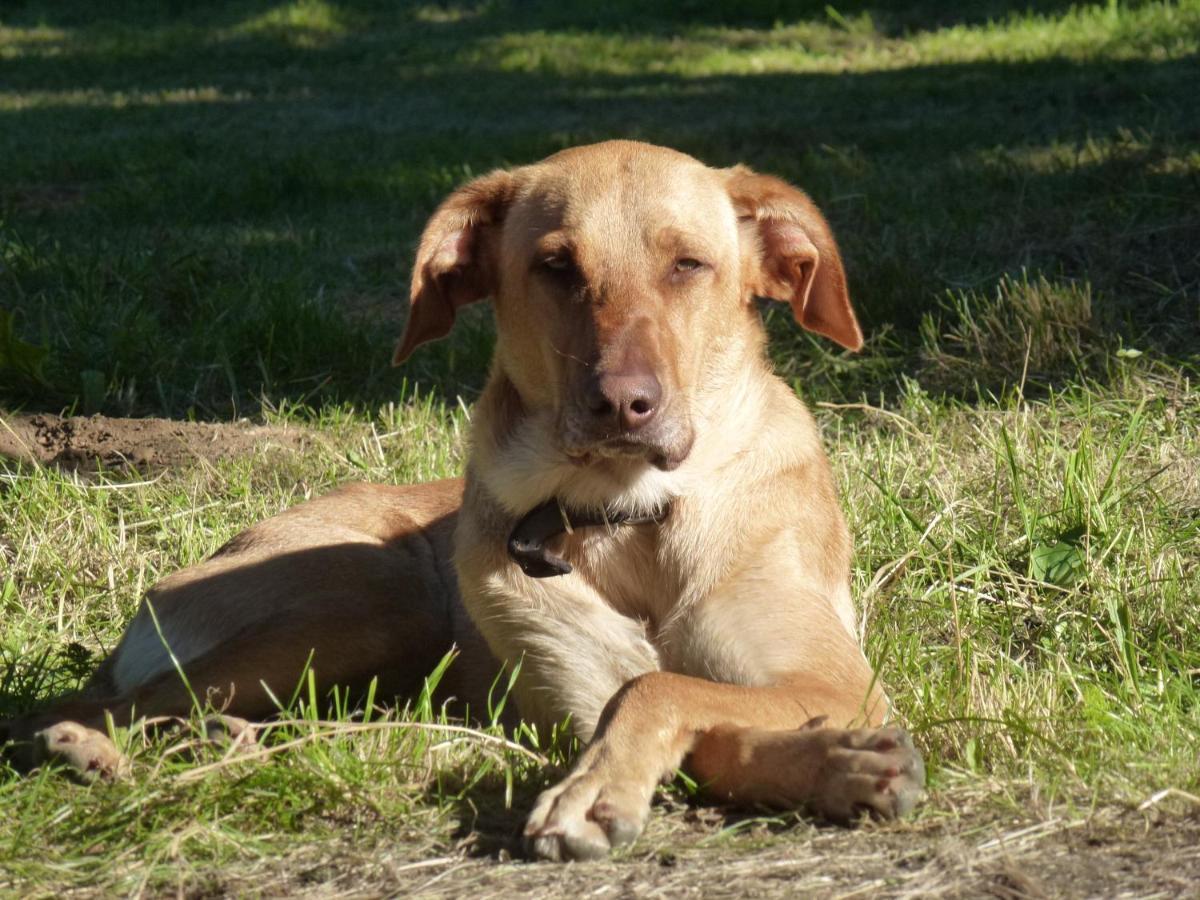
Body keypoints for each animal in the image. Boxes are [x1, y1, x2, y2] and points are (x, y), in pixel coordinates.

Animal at [2, 139, 926, 859]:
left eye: (689, 264)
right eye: (555, 266)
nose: (623, 404)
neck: (630, 516)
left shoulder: (835, 677)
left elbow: (680, 697)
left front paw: (845, 766)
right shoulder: (568, 704)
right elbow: (654, 695)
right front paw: (608, 789)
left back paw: (215, 741)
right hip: (376, 599)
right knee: (94, 702)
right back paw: (88, 746)